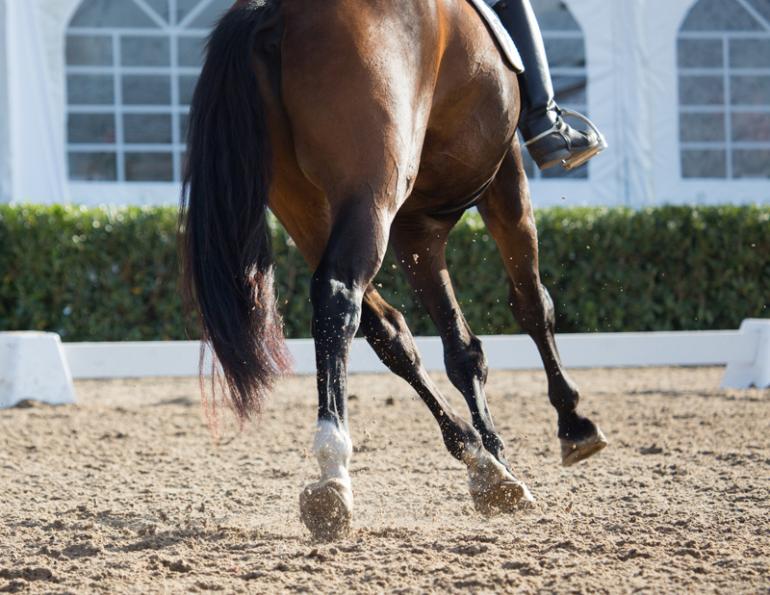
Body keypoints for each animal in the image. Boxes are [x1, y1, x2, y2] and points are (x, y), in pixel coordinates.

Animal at [180, 0, 607, 540]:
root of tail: (277, 12)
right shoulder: (504, 177)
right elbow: (531, 304)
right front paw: (573, 423)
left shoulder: (415, 230)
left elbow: (460, 348)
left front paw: (496, 457)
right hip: (372, 192)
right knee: (339, 294)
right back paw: (334, 472)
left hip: (305, 206)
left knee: (383, 328)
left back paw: (481, 464)